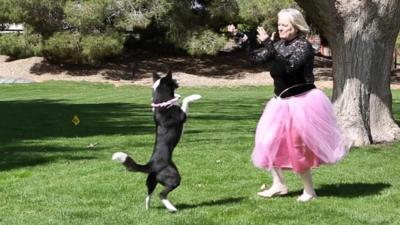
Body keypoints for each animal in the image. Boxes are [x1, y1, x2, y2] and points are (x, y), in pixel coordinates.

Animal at [111, 70, 200, 213]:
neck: (162, 103)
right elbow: (185, 101)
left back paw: (148, 208)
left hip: (151, 181)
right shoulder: (182, 116)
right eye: (173, 79)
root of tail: (151, 165)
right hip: (174, 178)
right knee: (161, 194)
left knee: (149, 195)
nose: (179, 80)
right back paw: (172, 208)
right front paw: (194, 96)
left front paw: (178, 96)